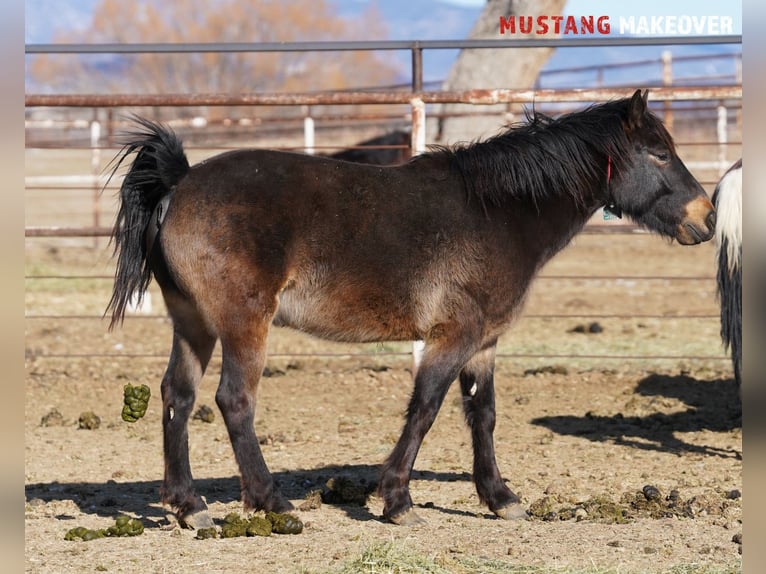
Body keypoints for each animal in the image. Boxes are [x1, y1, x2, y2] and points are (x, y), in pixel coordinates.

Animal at [105, 91, 716, 532]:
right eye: (659, 153)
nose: (706, 217)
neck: (499, 212)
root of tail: (180, 183)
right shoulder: (454, 336)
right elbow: (425, 408)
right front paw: (397, 500)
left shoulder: (484, 342)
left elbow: (482, 415)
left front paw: (500, 498)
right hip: (242, 324)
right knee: (234, 401)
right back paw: (271, 501)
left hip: (194, 323)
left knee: (177, 397)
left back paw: (189, 506)